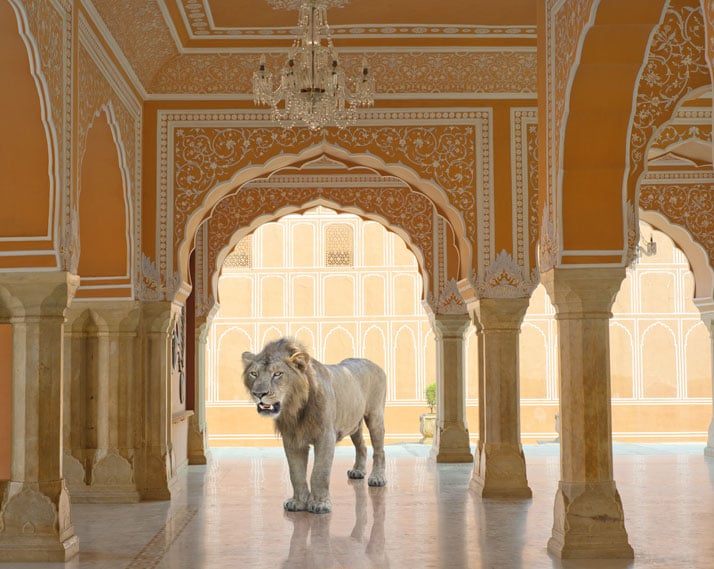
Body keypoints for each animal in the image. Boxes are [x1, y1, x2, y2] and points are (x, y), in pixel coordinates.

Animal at [242, 338, 386, 516]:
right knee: (362, 446)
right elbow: (295, 473)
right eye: (253, 374)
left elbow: (320, 472)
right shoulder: (292, 439)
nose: (258, 394)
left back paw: (377, 478)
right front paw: (298, 502)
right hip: (353, 423)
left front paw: (319, 504)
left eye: (278, 374)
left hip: (375, 416)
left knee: (379, 450)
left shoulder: (326, 436)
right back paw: (358, 471)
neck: (295, 408)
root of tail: (374, 363)